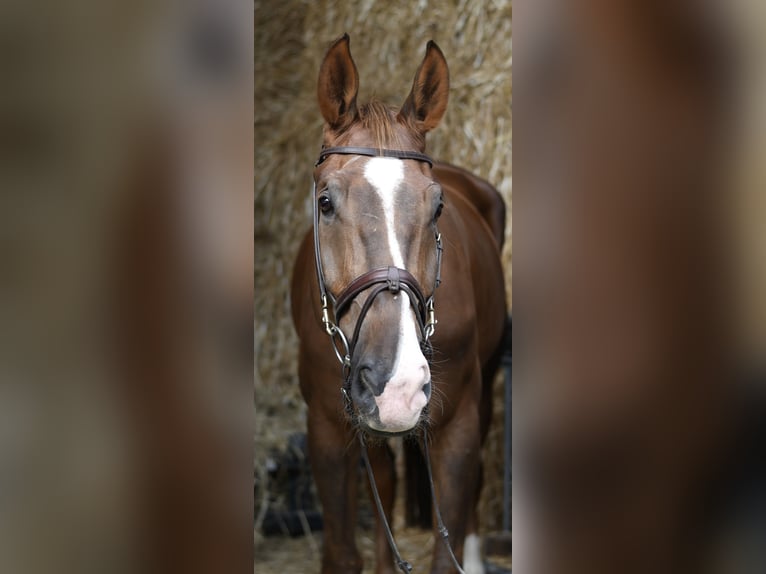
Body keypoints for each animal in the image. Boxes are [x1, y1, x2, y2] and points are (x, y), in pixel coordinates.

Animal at [291, 35, 507, 574]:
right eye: (326, 202)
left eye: (438, 206)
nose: (398, 385)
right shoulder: (326, 428)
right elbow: (343, 553)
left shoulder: (456, 425)